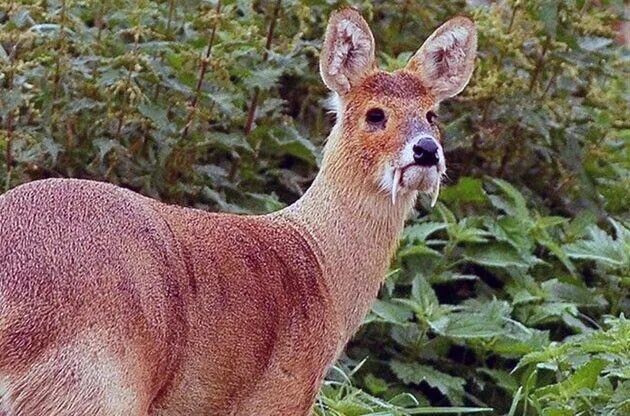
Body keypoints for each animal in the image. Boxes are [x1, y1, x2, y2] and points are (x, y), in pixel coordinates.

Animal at [0, 7, 474, 416]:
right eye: (375, 114)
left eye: (432, 114)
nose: (426, 151)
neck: (320, 264)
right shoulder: (280, 395)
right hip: (98, 385)